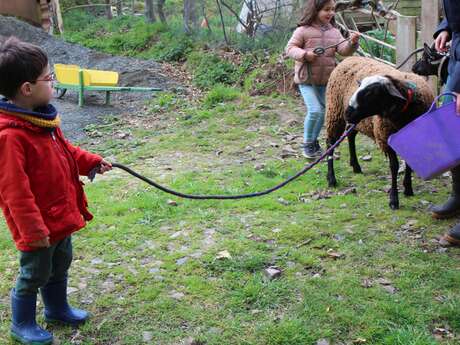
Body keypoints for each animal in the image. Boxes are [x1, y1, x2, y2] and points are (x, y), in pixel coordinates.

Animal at [324, 55, 434, 210]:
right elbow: (394, 167)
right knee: (330, 143)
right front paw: (394, 200)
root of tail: (348, 58)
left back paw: (356, 166)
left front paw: (408, 189)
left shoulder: (411, 139)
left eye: (371, 92)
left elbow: (409, 163)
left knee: (351, 136)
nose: (348, 112)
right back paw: (331, 179)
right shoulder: (385, 139)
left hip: (357, 120)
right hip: (335, 111)